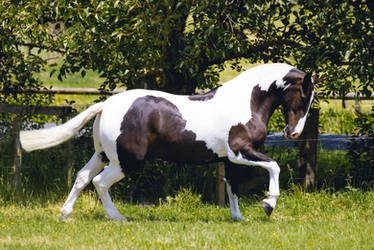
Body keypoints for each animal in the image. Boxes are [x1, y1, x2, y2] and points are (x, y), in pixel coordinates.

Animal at [19, 63, 312, 222]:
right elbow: (274, 166)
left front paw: (239, 217)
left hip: (104, 155)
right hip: (128, 162)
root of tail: (106, 105)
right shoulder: (241, 152)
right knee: (99, 182)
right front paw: (269, 204)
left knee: (82, 177)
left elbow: (232, 188)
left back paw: (65, 214)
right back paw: (118, 217)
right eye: (302, 96)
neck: (246, 102)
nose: (293, 133)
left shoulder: (230, 159)